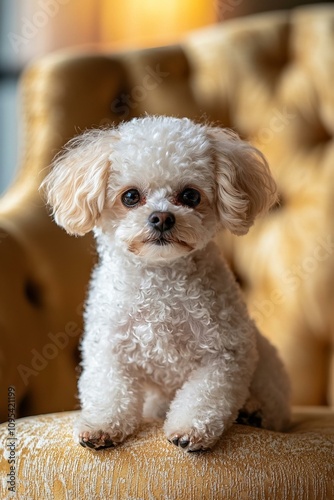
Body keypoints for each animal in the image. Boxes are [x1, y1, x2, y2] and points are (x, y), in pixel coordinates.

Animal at [43, 115, 290, 452]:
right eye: (131, 196)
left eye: (190, 196)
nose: (161, 217)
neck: (161, 281)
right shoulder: (109, 350)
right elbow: (110, 391)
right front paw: (100, 426)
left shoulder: (225, 355)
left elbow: (204, 397)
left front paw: (190, 430)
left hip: (266, 368)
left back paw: (254, 412)